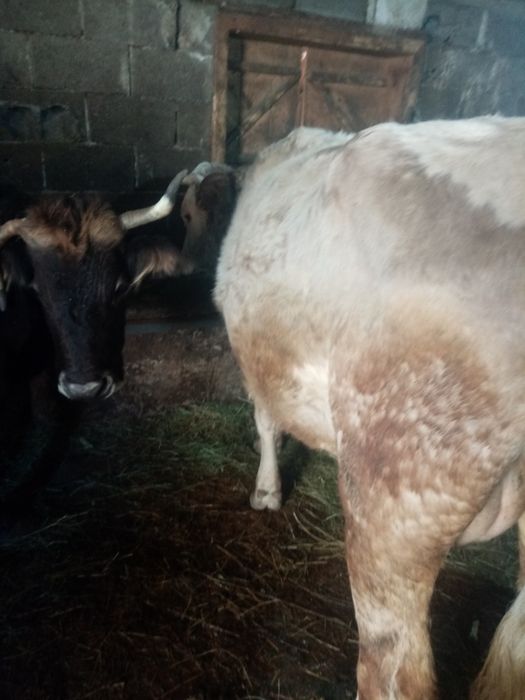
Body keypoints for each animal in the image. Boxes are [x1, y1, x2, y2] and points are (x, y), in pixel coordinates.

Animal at [184, 117, 525, 699]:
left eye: (189, 214)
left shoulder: (255, 356)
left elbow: (266, 421)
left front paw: (266, 492)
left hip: (393, 494)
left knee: (390, 669)